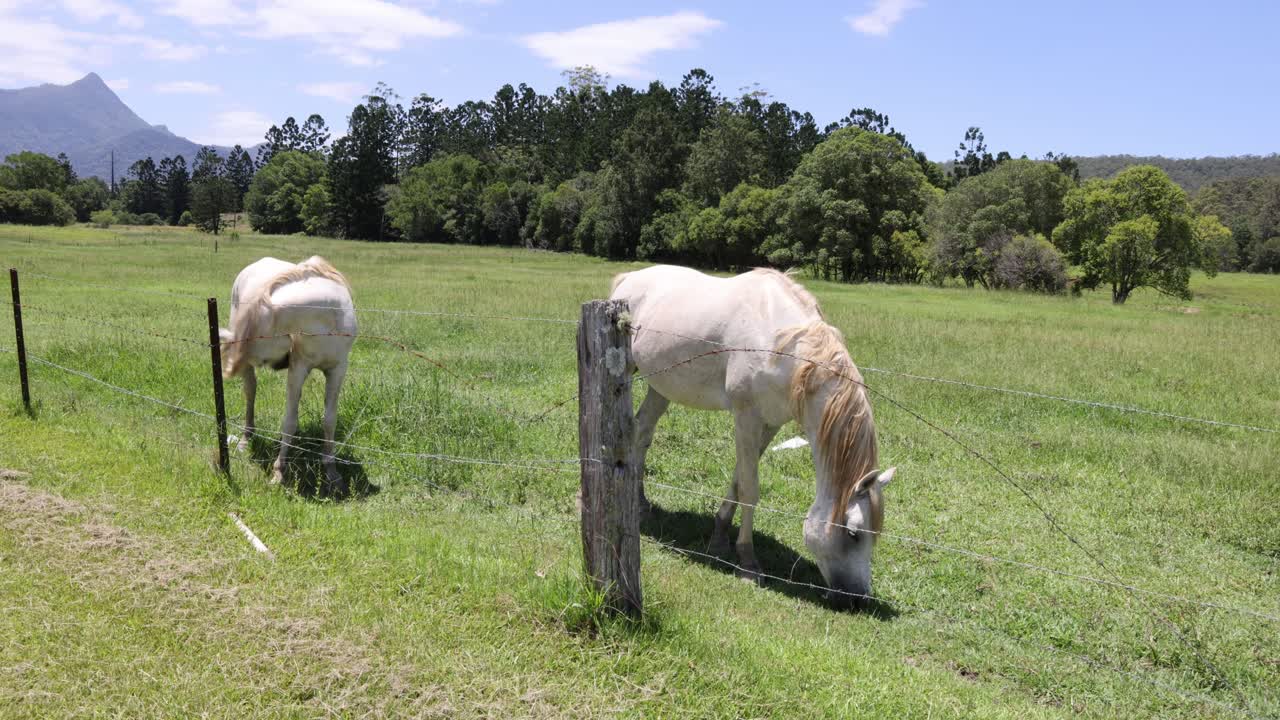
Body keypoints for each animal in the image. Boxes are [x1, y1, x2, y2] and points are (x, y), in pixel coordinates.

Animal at [219, 256, 356, 494]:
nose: (281, 361)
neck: (326, 319)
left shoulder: (338, 370)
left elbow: (329, 420)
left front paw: (332, 472)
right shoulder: (298, 369)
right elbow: (289, 422)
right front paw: (279, 472)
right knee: (250, 393)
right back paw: (246, 439)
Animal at [610, 265, 894, 607]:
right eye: (854, 533)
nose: (858, 599)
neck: (781, 346)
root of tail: (629, 277)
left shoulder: (769, 424)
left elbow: (737, 479)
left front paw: (719, 537)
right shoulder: (746, 417)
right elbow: (749, 489)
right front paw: (748, 562)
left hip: (661, 387)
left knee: (642, 433)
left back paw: (640, 503)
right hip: (627, 372)